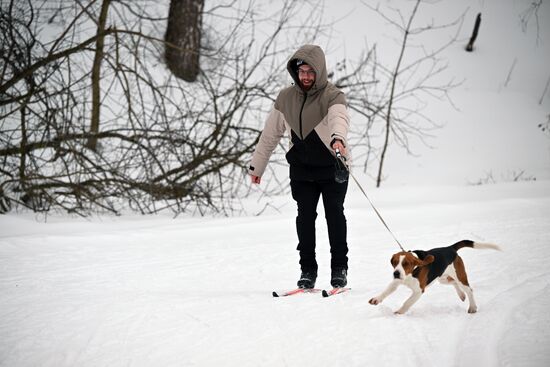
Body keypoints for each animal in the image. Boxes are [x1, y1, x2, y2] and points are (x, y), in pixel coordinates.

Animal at [368, 240, 502, 314]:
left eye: (406, 264)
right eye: (394, 262)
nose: (396, 273)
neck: (411, 273)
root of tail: (450, 248)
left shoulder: (418, 291)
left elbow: (407, 302)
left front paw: (399, 312)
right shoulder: (396, 282)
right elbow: (386, 291)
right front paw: (376, 299)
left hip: (459, 276)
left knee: (469, 289)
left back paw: (472, 307)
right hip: (443, 278)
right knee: (454, 283)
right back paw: (461, 295)